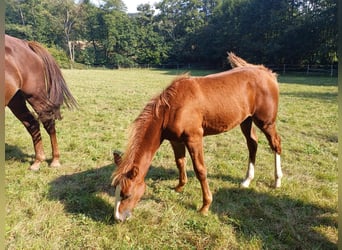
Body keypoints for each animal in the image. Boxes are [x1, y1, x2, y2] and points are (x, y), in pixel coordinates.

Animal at [4, 34, 77, 170]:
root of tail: (25, 44)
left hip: (35, 96)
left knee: (48, 122)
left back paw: (55, 160)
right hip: (15, 100)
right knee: (32, 123)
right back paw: (38, 161)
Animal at [111, 52, 280, 221]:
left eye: (127, 195)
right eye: (115, 190)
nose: (118, 218)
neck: (172, 108)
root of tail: (266, 72)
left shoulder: (194, 139)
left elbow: (200, 170)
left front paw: (205, 206)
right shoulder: (176, 141)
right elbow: (180, 162)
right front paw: (179, 187)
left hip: (266, 123)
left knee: (276, 144)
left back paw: (277, 181)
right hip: (246, 120)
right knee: (252, 144)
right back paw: (247, 181)